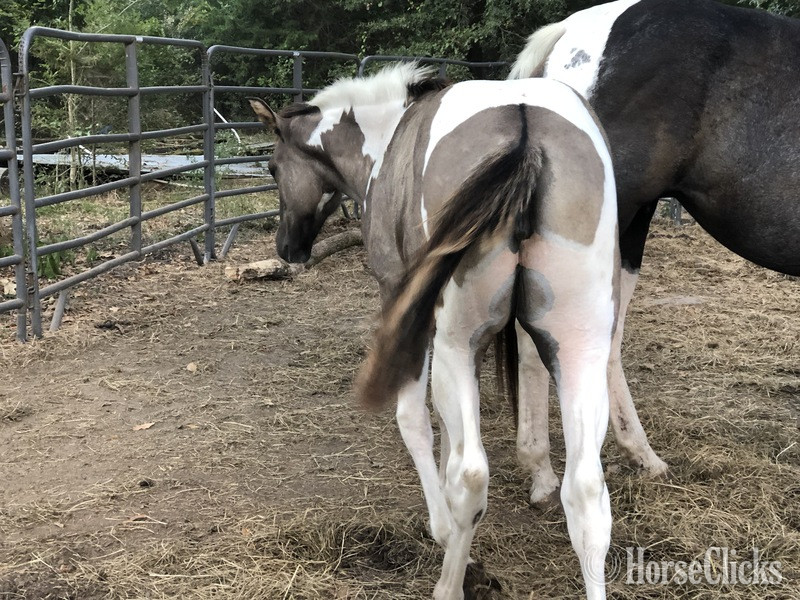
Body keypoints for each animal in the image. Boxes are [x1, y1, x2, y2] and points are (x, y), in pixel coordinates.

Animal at [250, 63, 620, 599]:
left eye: (274, 169)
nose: (287, 248)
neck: (385, 142)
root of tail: (524, 131)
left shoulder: (403, 304)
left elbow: (415, 421)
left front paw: (443, 529)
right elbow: (450, 429)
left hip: (456, 341)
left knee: (473, 476)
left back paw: (450, 581)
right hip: (577, 346)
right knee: (587, 491)